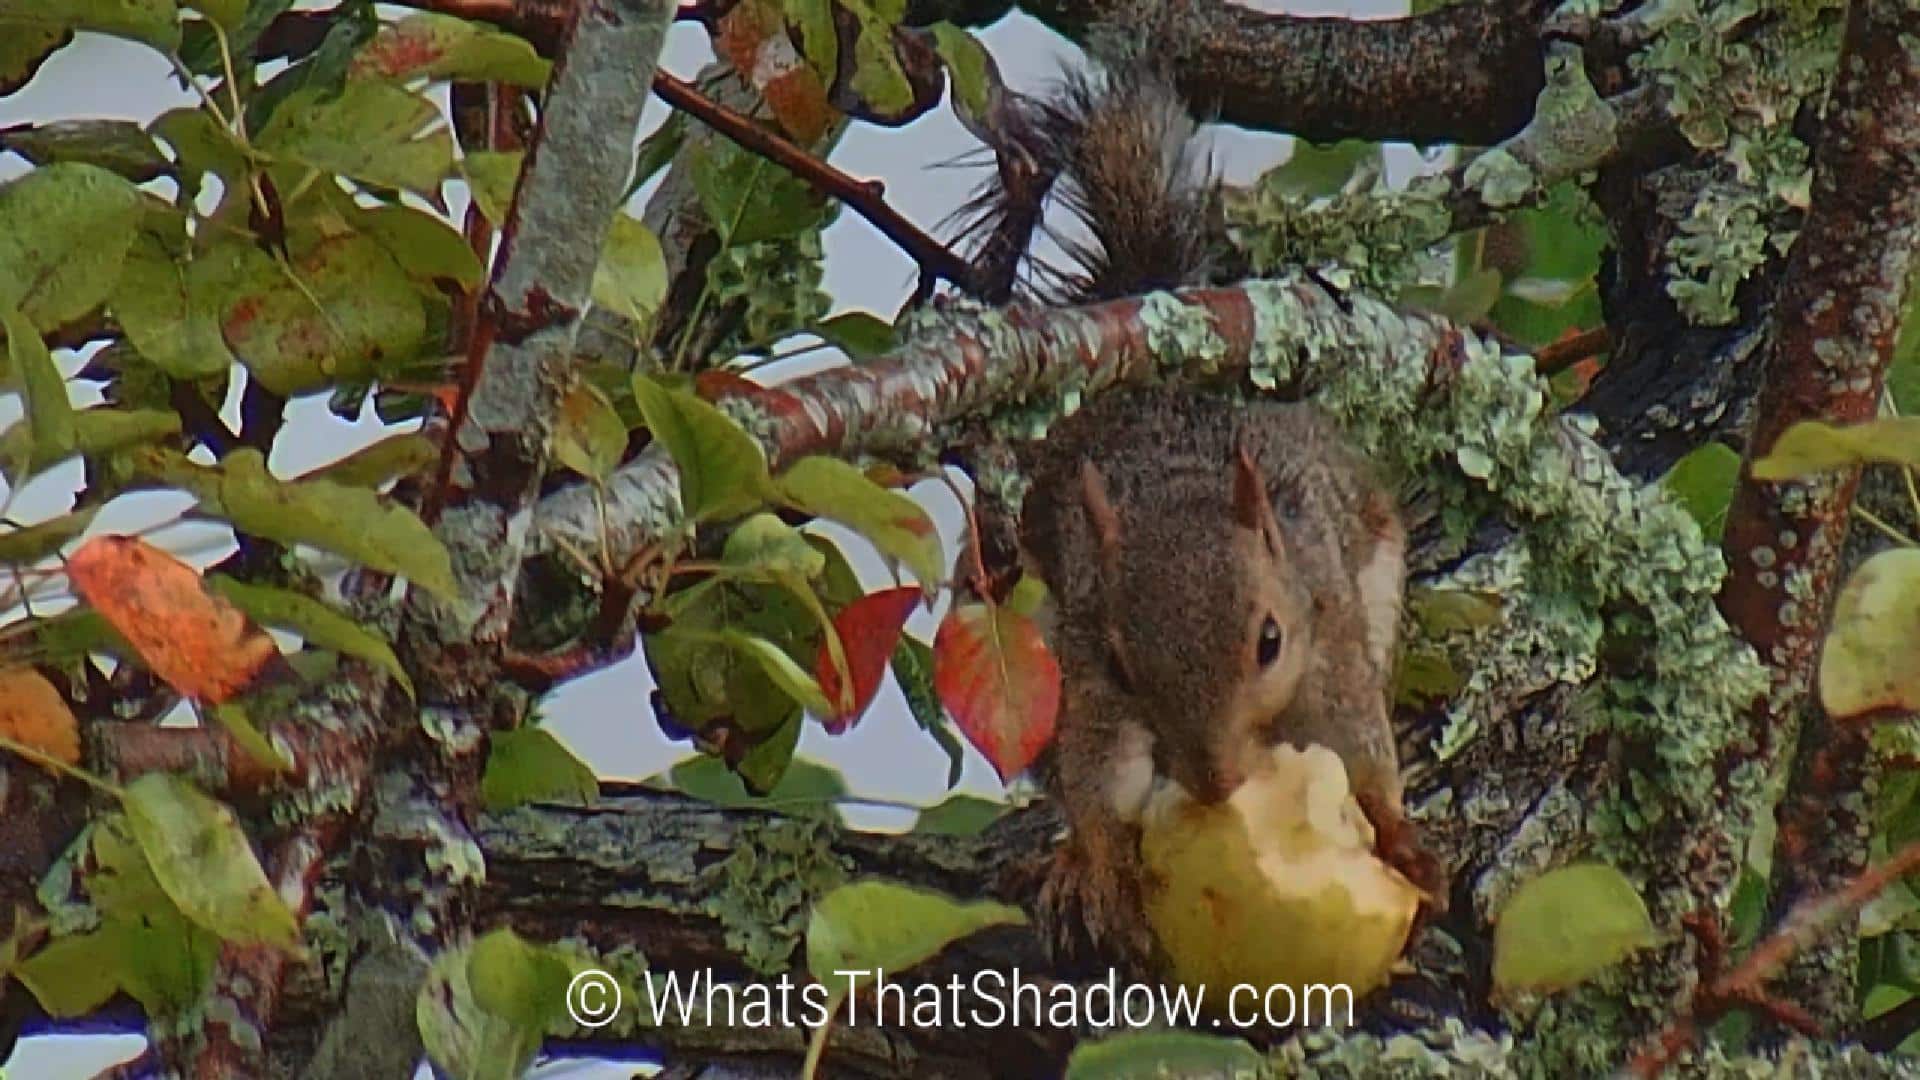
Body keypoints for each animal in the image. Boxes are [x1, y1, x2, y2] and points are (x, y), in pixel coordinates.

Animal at [955, 56, 1444, 974]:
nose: (1215, 781)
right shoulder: (1084, 663)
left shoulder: (1329, 622)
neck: (1174, 491)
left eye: (1270, 642)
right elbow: (1097, 777)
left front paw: (1399, 838)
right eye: (1122, 663)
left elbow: (1361, 740)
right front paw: (1104, 874)